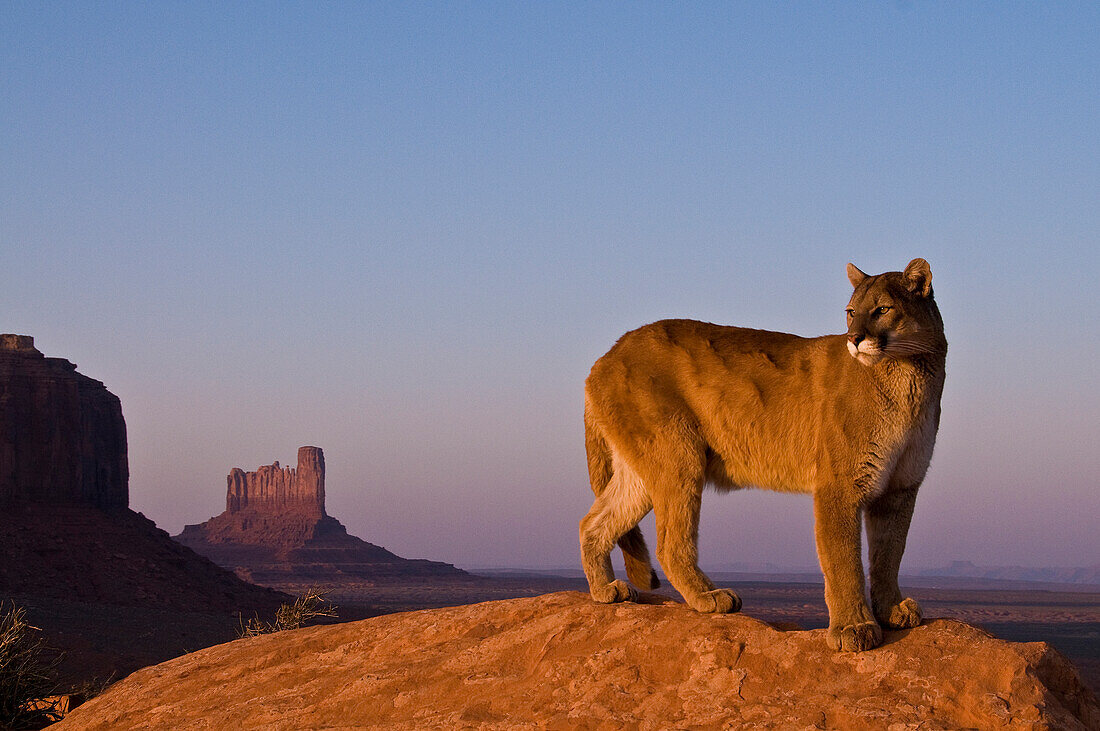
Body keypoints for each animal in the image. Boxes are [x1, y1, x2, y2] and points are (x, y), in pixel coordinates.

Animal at [580, 256, 950, 650]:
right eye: (851, 313)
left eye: (882, 309)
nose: (854, 338)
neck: (909, 377)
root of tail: (605, 356)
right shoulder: (840, 486)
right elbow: (844, 561)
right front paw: (853, 627)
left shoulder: (899, 488)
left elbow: (889, 553)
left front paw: (891, 608)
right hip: (679, 457)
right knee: (669, 542)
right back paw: (709, 597)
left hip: (642, 470)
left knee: (593, 523)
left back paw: (605, 590)